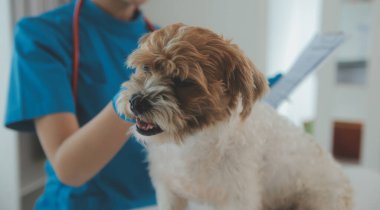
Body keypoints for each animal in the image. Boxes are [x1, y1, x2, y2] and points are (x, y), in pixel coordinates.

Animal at [116, 23, 354, 210]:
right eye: (145, 68)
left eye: (183, 80)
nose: (137, 102)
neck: (193, 142)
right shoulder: (169, 192)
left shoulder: (239, 198)